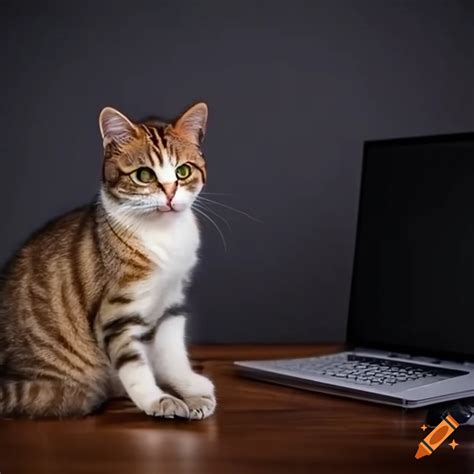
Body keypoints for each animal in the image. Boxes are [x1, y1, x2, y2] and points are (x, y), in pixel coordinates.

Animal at [0, 101, 217, 418]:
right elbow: (134, 365)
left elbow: (173, 355)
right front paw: (156, 400)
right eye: (144, 175)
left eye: (183, 171)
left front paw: (192, 391)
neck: (163, 237)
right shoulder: (116, 312)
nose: (169, 195)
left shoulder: (172, 302)